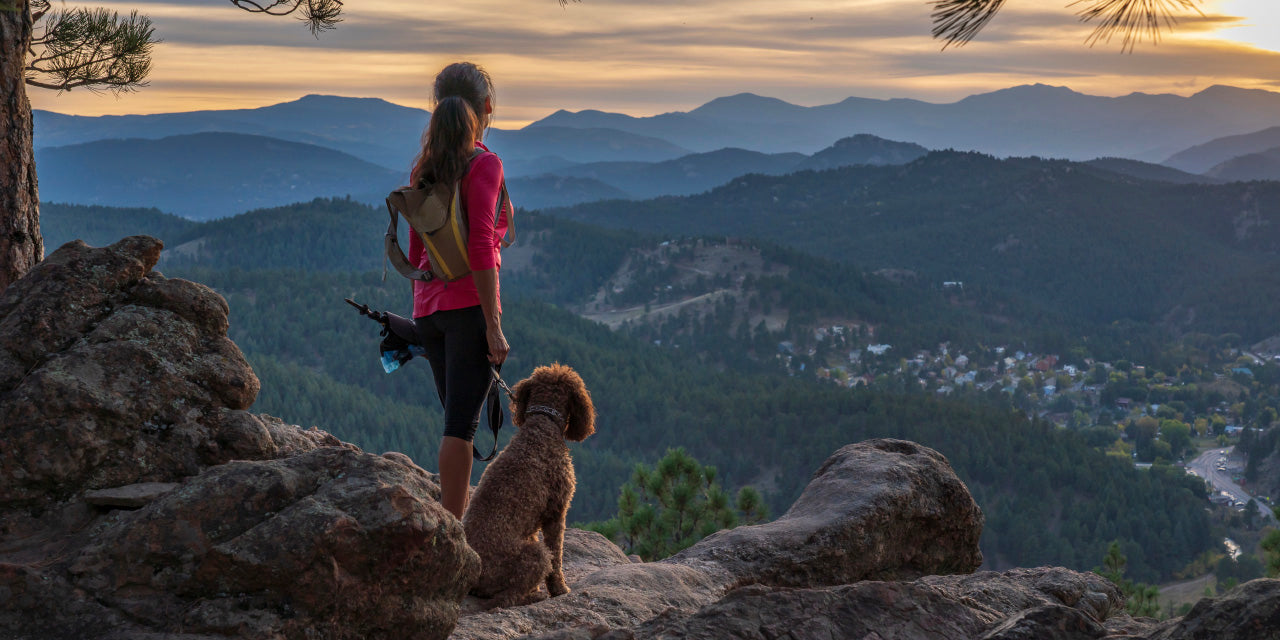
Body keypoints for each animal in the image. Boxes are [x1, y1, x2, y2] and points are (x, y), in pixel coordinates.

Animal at [463, 363, 596, 606]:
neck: (543, 424)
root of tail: (473, 574)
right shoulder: (556, 512)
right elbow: (557, 556)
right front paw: (560, 589)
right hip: (534, 555)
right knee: (507, 597)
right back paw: (532, 596)